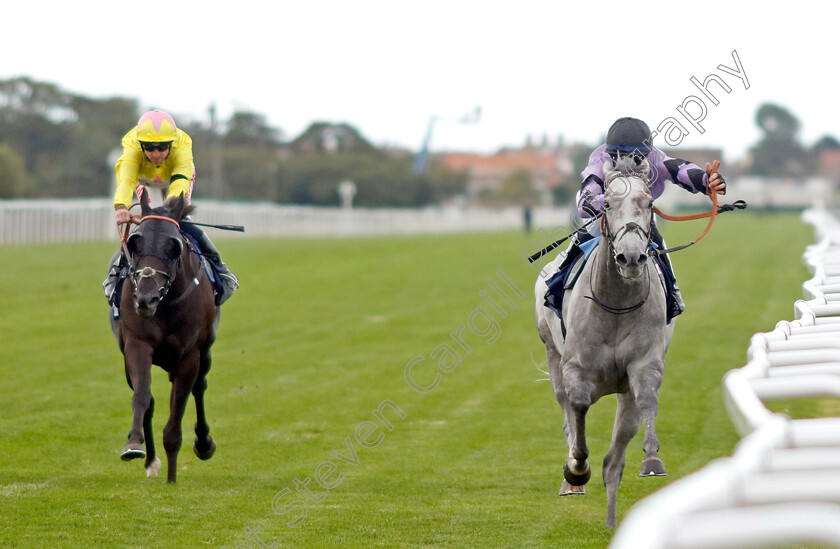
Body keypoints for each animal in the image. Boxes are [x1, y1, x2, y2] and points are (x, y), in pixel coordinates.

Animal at [110, 191, 220, 482]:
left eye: (174, 248)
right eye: (135, 244)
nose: (145, 299)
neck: (166, 303)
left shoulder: (190, 355)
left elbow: (177, 412)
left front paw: (172, 479)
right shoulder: (137, 345)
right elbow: (143, 397)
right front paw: (134, 445)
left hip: (205, 351)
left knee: (200, 386)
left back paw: (203, 443)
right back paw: (150, 460)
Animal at [540, 157, 676, 528]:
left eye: (649, 204)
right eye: (608, 205)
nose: (630, 258)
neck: (616, 302)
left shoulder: (644, 364)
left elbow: (647, 400)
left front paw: (652, 460)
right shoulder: (576, 368)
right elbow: (578, 407)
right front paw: (575, 470)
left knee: (613, 461)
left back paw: (613, 521)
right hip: (551, 353)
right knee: (566, 409)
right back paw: (573, 480)